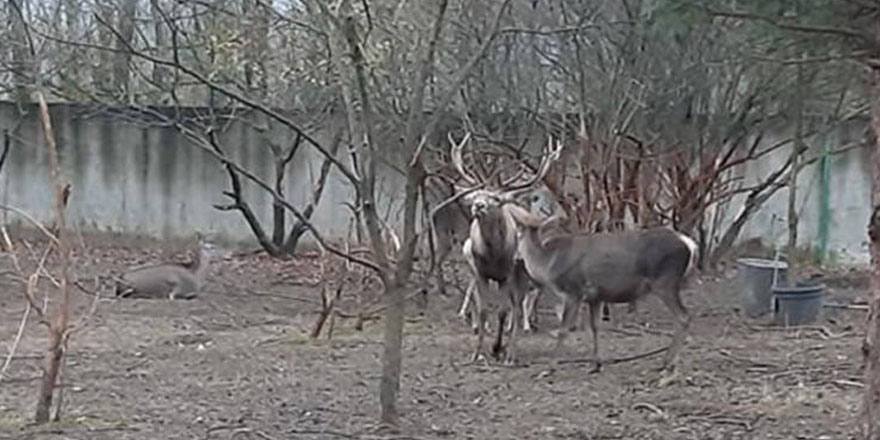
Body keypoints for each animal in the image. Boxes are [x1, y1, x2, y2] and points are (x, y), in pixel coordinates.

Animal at [434, 131, 564, 364]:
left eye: (495, 199)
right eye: (476, 196)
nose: (478, 206)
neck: (493, 255)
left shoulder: (508, 274)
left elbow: (503, 311)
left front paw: (498, 348)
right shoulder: (480, 272)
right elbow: (484, 310)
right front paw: (478, 352)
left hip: (522, 272)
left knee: (517, 305)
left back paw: (512, 347)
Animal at [506, 205, 696, 372]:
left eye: (516, 235)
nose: (514, 258)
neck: (548, 264)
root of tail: (690, 244)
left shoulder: (573, 291)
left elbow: (563, 330)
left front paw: (550, 368)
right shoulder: (595, 297)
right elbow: (595, 327)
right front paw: (596, 364)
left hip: (665, 282)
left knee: (683, 317)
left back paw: (668, 362)